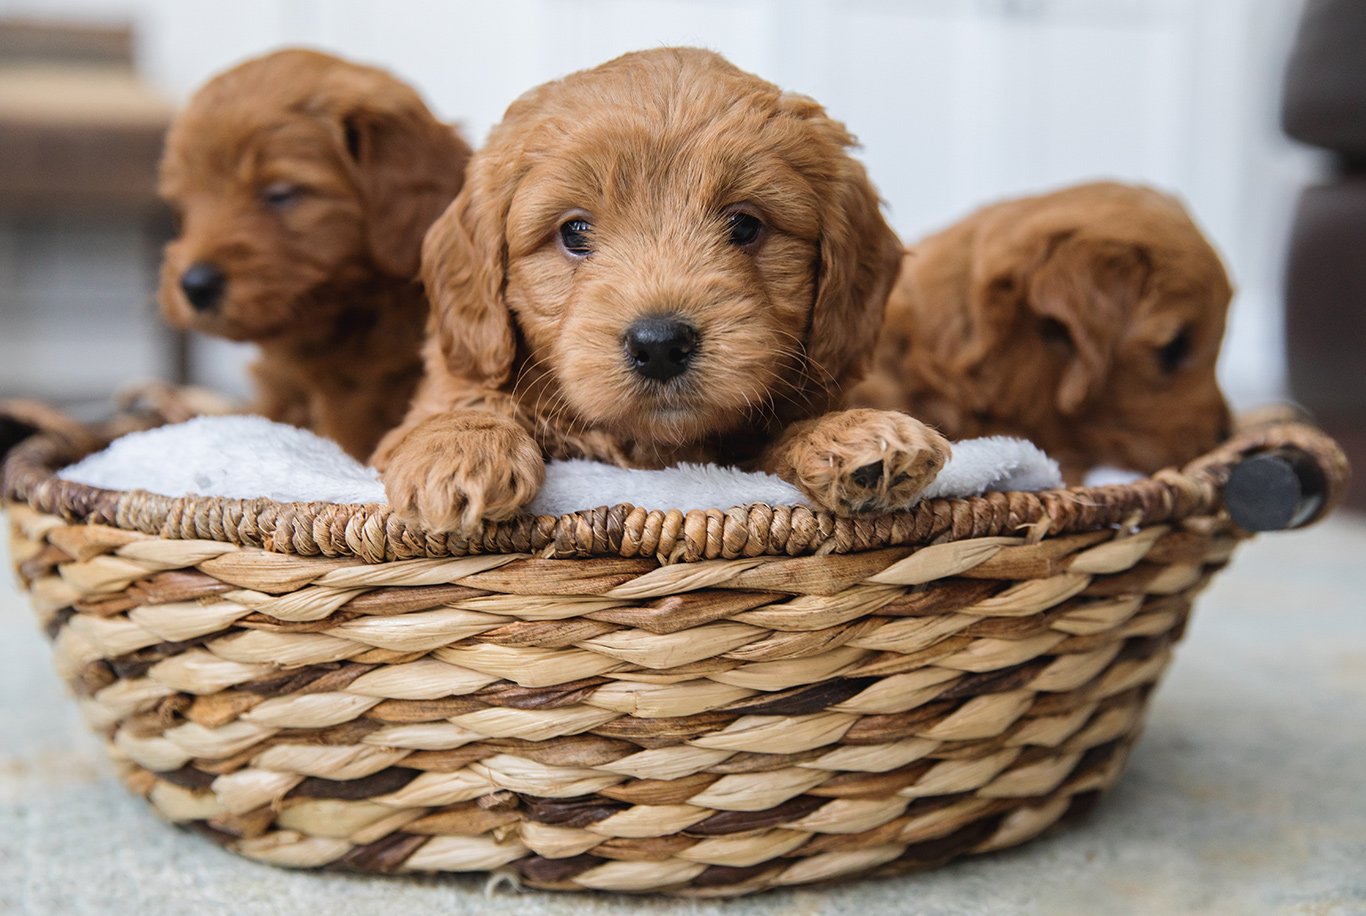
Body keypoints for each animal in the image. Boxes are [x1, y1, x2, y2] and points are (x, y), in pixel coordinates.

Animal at [374, 48, 950, 537]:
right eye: (574, 232)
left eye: (745, 225)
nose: (659, 345)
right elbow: (462, 403)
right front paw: (459, 451)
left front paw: (851, 434)